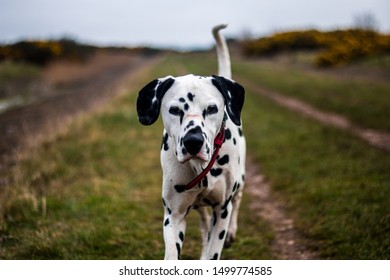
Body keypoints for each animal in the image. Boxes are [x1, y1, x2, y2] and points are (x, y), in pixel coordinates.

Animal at [137, 24, 245, 260]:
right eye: (175, 110)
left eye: (212, 109)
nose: (193, 141)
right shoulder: (174, 215)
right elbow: (173, 254)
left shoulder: (221, 210)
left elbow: (214, 250)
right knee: (204, 223)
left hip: (240, 180)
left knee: (237, 199)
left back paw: (233, 231)